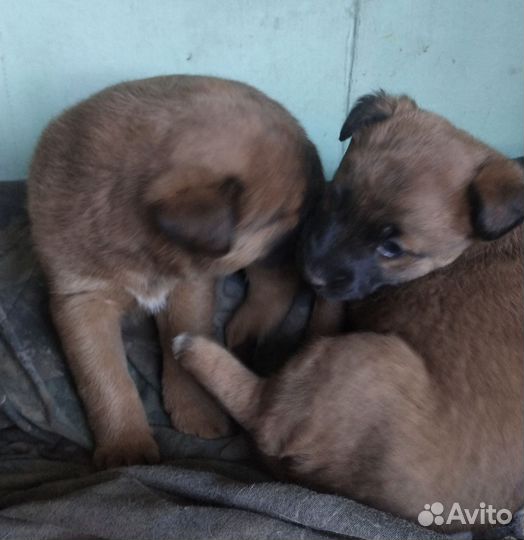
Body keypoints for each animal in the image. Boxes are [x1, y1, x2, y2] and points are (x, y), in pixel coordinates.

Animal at [28, 76, 326, 468]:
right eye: (282, 214)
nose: (322, 196)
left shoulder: (191, 286)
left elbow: (183, 342)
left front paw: (197, 412)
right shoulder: (82, 299)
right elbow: (105, 378)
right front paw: (126, 447)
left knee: (276, 283)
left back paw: (246, 328)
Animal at [177, 92, 524, 532]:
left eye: (392, 249)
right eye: (337, 197)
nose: (311, 271)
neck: (468, 249)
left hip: (362, 362)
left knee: (261, 411)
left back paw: (193, 348)